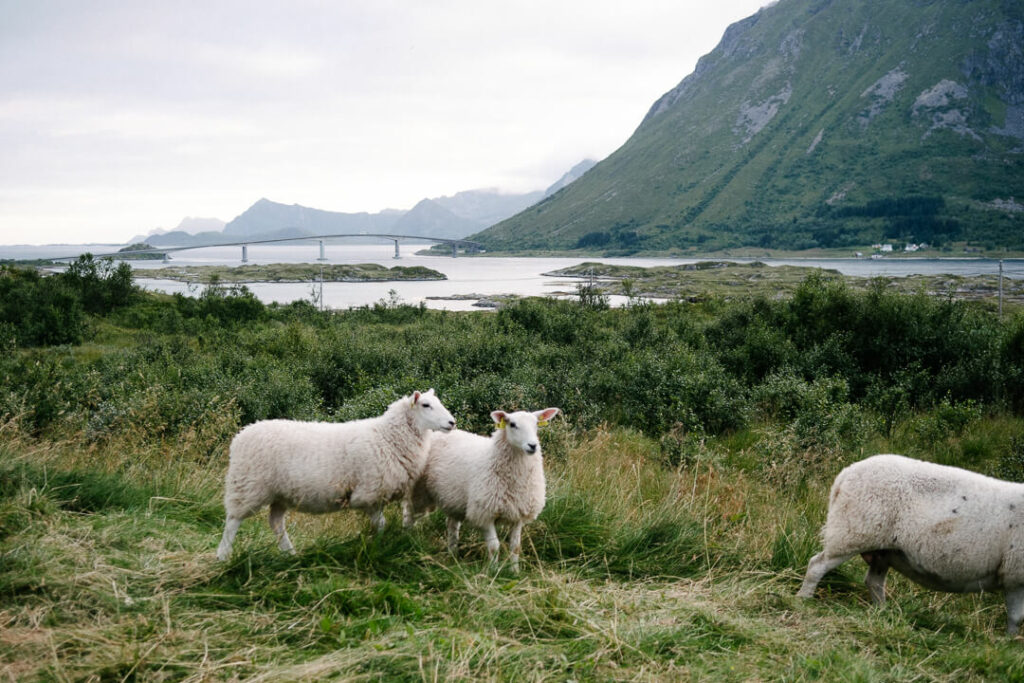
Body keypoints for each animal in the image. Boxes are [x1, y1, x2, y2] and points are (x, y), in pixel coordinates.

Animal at [216, 389, 455, 560]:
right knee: (233, 520)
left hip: (280, 493)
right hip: (247, 485)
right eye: (426, 405)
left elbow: (380, 524)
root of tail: (240, 436)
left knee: (275, 523)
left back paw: (290, 554)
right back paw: (223, 556)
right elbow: (381, 524)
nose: (452, 422)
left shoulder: (375, 496)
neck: (387, 436)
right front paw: (378, 546)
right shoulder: (369, 493)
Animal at [404, 407, 560, 571]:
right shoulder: (484, 513)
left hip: (454, 498)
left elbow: (515, 547)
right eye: (512, 424)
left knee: (451, 525)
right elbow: (494, 546)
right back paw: (408, 538)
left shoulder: (518, 513)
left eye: (536, 424)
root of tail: (438, 433)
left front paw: (515, 571)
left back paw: (453, 553)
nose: (533, 445)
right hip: (419, 491)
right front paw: (493, 571)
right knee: (409, 514)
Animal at [798, 453, 1024, 635]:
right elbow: (1016, 617)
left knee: (873, 581)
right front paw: (1008, 643)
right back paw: (804, 599)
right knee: (817, 565)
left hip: (882, 550)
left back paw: (883, 612)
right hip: (852, 533)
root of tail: (845, 474)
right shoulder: (1015, 575)